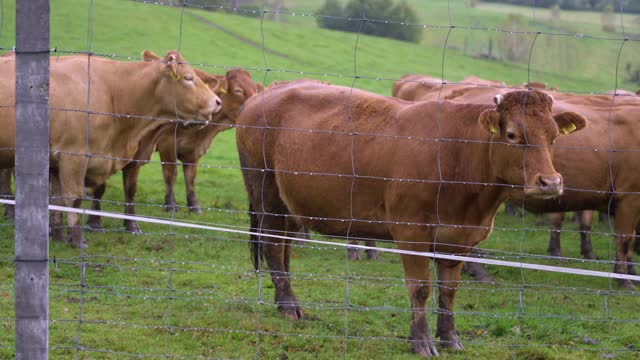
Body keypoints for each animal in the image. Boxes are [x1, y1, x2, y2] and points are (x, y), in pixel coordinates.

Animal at [0, 50, 221, 248]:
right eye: (188, 78)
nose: (217, 102)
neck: (113, 92)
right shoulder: (73, 156)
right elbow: (75, 198)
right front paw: (77, 240)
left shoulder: (55, 162)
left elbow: (56, 199)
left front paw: (58, 235)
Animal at [236, 81, 584, 354]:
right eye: (511, 135)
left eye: (553, 137)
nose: (550, 182)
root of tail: (267, 92)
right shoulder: (411, 233)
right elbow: (420, 288)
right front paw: (421, 342)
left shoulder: (458, 239)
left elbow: (449, 290)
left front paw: (450, 338)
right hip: (265, 192)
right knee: (271, 245)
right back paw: (289, 306)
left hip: (289, 203)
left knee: (283, 247)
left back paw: (286, 302)